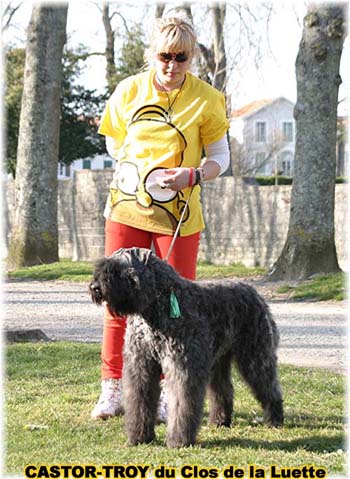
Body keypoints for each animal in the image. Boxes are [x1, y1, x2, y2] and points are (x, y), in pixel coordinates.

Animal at [89, 248, 284, 450]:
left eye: (116, 270)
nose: (95, 287)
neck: (155, 307)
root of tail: (256, 295)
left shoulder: (182, 368)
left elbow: (181, 404)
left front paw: (178, 441)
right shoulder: (140, 368)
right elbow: (139, 402)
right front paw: (139, 437)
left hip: (255, 357)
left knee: (269, 387)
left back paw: (274, 419)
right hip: (217, 362)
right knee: (223, 390)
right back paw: (220, 421)